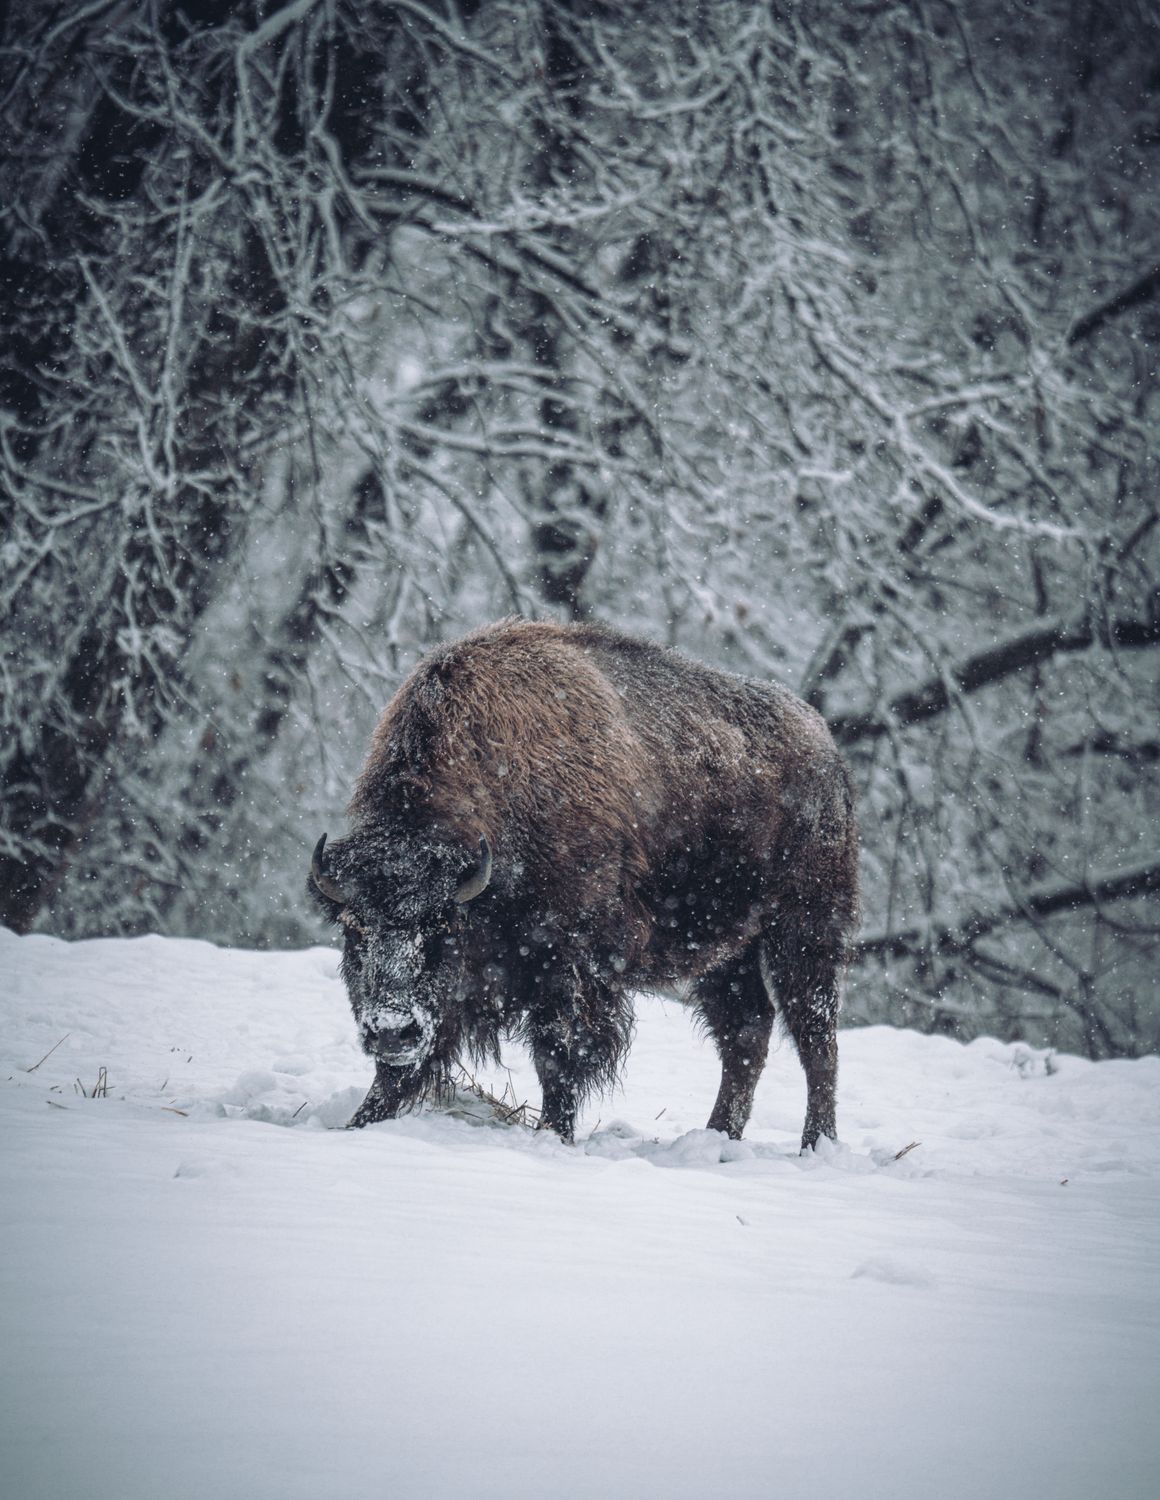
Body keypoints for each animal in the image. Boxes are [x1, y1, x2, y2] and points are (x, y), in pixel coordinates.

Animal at [309, 619, 860, 1148]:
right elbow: (402, 1072)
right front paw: (359, 1125)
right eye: (355, 928)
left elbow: (558, 1053)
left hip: (804, 929)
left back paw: (816, 1143)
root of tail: (826, 749)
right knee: (746, 1031)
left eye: (441, 928)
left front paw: (554, 1134)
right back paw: (719, 1135)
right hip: (726, 948)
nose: (391, 1031)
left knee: (816, 1036)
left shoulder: (570, 964)